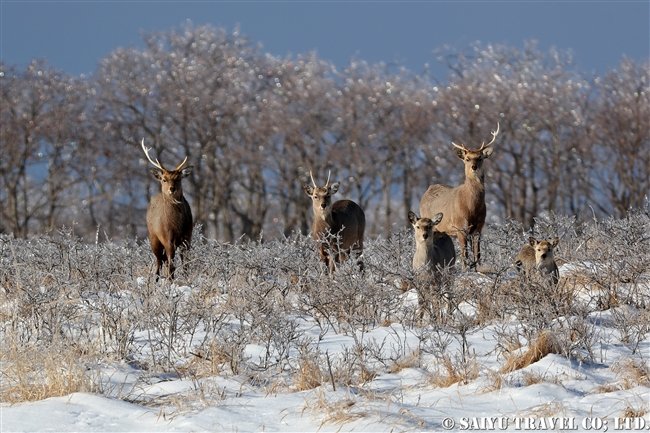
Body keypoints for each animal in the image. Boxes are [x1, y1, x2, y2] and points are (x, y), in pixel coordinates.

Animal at [140, 138, 192, 280]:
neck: (177, 224)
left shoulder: (187, 238)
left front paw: (187, 278)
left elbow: (186, 264)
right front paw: (170, 280)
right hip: (153, 237)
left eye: (178, 179)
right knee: (159, 261)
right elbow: (171, 265)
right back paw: (156, 279)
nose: (171, 189)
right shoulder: (168, 238)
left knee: (164, 260)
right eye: (164, 179)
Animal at [418, 122, 498, 270]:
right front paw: (465, 269)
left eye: (480, 158)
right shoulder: (460, 227)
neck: (471, 207)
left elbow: (478, 254)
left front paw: (478, 269)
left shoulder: (479, 227)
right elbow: (464, 255)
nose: (473, 167)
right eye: (467, 158)